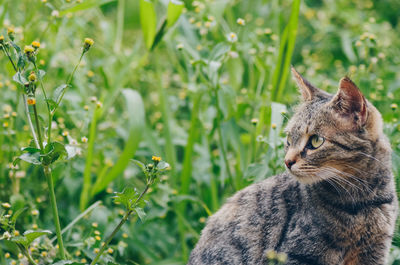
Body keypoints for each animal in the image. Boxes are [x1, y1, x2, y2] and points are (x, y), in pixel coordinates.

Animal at [189, 67, 398, 264]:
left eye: (316, 141)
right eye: (289, 139)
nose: (287, 161)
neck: (362, 202)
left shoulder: (374, 252)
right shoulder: (299, 253)